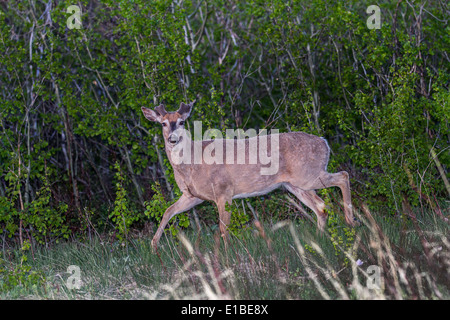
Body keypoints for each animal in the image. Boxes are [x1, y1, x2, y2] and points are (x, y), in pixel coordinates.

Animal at [141, 101, 356, 251]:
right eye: (163, 123)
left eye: (182, 121)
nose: (172, 139)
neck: (192, 162)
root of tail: (324, 142)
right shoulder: (193, 196)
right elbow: (168, 211)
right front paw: (153, 245)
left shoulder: (223, 191)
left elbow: (223, 228)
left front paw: (228, 254)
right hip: (295, 184)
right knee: (321, 206)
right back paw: (320, 238)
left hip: (308, 175)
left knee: (343, 176)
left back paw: (351, 222)